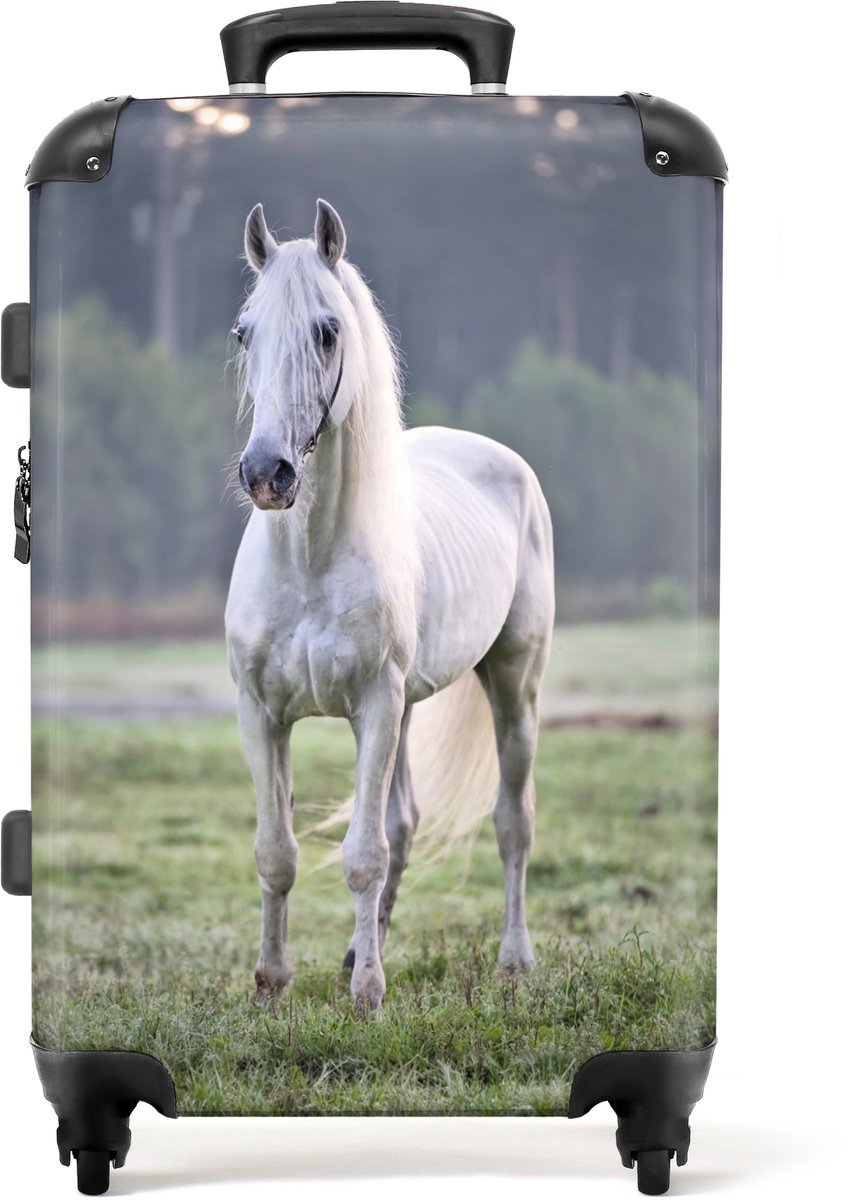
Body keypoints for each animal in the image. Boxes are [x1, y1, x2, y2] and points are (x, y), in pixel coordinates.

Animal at [225, 199, 555, 1010]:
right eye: (244, 332)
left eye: (327, 330)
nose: (267, 473)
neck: (309, 562)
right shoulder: (261, 712)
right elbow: (277, 852)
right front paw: (271, 983)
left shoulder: (373, 706)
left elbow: (362, 856)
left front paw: (368, 994)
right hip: (406, 708)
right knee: (405, 823)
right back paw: (355, 949)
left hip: (512, 685)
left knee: (512, 823)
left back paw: (513, 959)